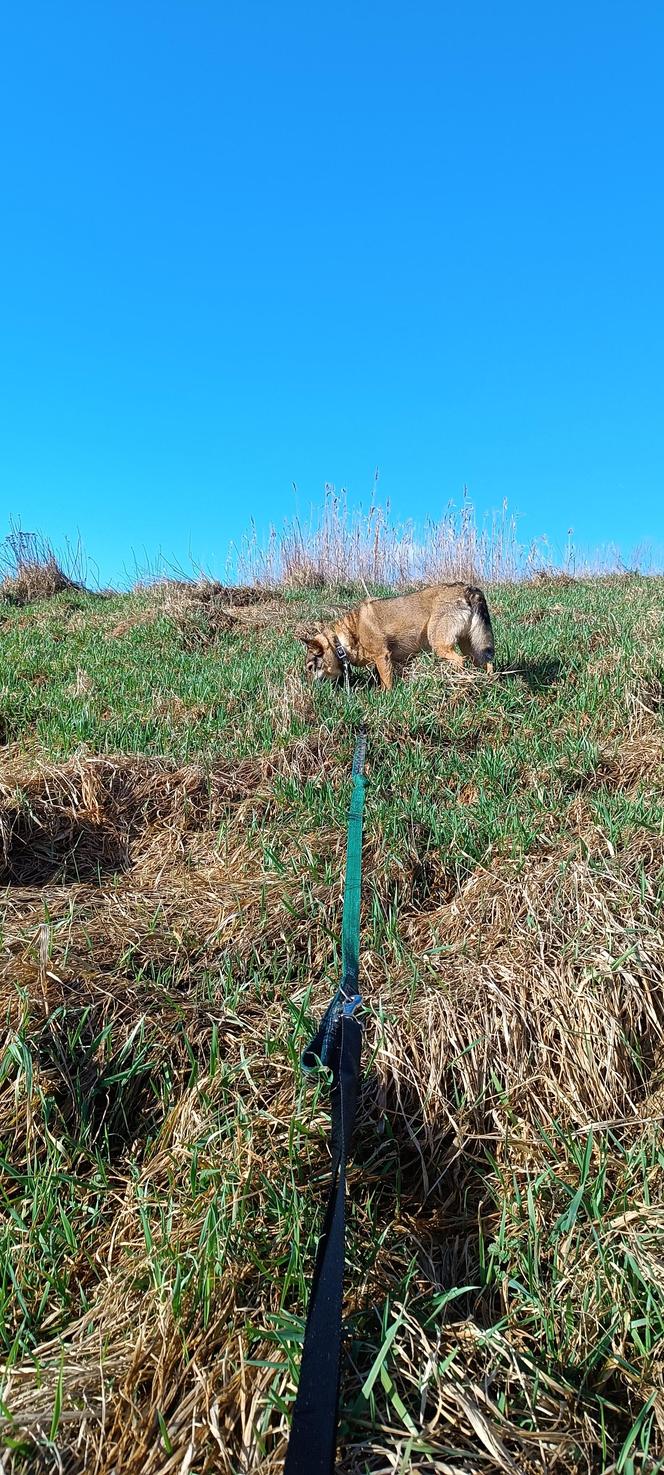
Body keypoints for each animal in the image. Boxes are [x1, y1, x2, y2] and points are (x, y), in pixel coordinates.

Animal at [301, 578, 492, 687]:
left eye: (310, 668)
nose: (309, 690)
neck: (341, 642)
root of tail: (468, 588)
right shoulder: (397, 660)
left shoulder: (382, 656)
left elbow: (386, 684)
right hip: (472, 646)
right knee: (487, 662)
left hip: (439, 645)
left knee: (460, 661)